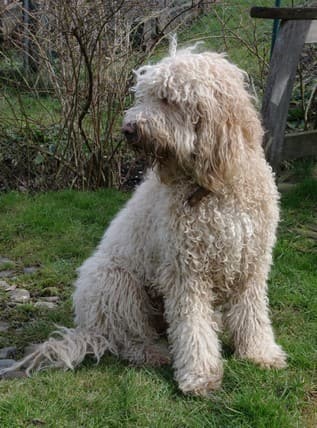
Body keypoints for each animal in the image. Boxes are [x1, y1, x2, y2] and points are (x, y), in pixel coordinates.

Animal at [2, 45, 286, 396]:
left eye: (168, 98)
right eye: (144, 95)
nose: (128, 129)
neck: (211, 188)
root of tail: (89, 327)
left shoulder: (252, 261)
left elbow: (252, 312)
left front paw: (260, 353)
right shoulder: (185, 270)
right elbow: (192, 327)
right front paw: (200, 375)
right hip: (114, 280)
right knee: (128, 340)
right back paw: (154, 353)